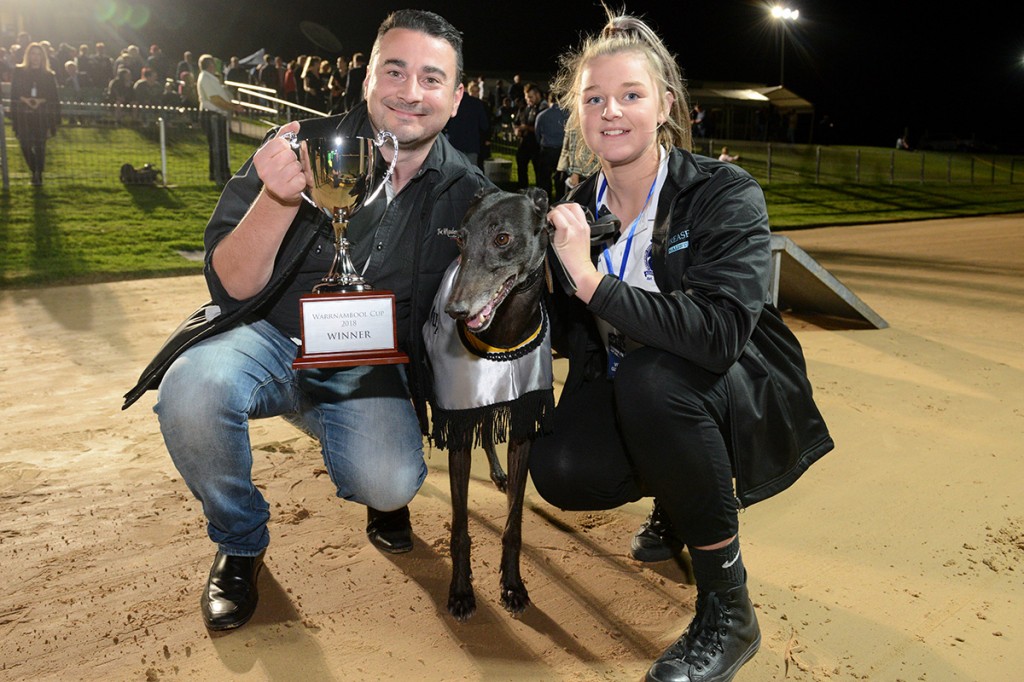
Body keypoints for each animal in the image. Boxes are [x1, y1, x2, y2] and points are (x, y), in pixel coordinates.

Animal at [421, 186, 557, 622]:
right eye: (461, 240)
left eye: (502, 238)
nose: (456, 311)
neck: (504, 333)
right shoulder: (459, 425)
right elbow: (460, 526)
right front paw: (462, 592)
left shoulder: (523, 421)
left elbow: (514, 525)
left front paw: (513, 585)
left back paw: (498, 474)